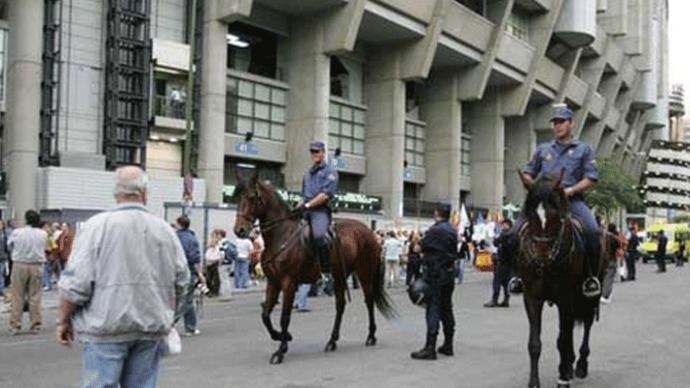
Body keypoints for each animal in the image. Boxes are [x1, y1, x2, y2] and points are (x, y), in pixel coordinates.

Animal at [231, 176, 392, 364]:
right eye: (238, 198)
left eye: (251, 198)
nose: (239, 230)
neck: (281, 236)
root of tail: (370, 233)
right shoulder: (273, 282)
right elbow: (265, 315)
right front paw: (282, 337)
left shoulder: (289, 283)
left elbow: (284, 317)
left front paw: (281, 350)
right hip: (339, 276)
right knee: (340, 305)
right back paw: (332, 341)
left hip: (365, 273)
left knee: (369, 301)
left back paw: (371, 336)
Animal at [512, 173, 604, 388]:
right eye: (530, 215)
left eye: (555, 215)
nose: (541, 256)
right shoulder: (532, 298)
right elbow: (535, 343)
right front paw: (534, 381)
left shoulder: (566, 298)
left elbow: (562, 340)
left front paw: (562, 379)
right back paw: (569, 365)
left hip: (588, 297)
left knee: (586, 324)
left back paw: (580, 365)